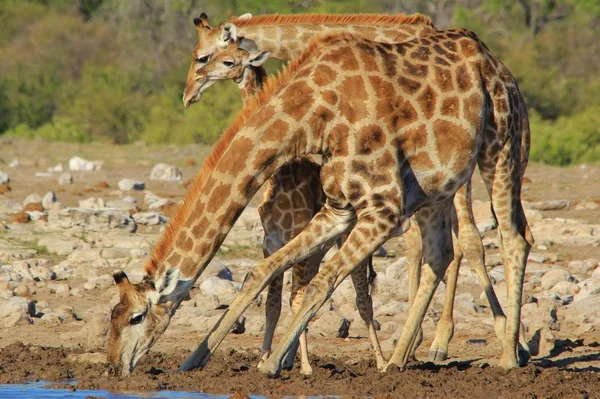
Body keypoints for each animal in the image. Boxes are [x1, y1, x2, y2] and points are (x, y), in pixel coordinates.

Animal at [106, 28, 528, 378]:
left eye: (136, 317)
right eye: (112, 314)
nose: (112, 367)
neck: (311, 117)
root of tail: (497, 63)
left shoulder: (383, 207)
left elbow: (318, 284)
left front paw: (273, 363)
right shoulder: (339, 209)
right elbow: (261, 273)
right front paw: (194, 360)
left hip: (501, 151)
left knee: (513, 238)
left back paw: (508, 355)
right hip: (437, 188)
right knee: (440, 254)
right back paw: (397, 360)